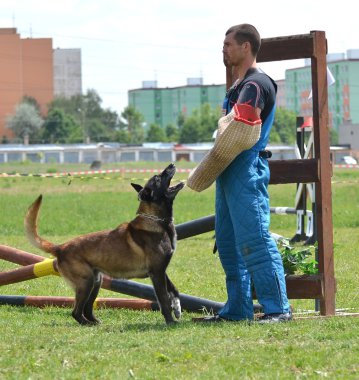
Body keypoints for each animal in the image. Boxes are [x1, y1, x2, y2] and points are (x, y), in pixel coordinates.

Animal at [24, 162, 186, 326]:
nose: (172, 164)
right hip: (86, 282)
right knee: (76, 312)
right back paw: (88, 324)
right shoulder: (156, 273)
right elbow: (164, 299)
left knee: (87, 309)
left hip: (96, 281)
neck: (156, 221)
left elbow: (173, 290)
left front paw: (177, 308)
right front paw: (170, 321)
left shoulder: (161, 271)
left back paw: (95, 322)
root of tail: (61, 247)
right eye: (158, 178)